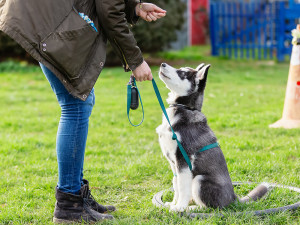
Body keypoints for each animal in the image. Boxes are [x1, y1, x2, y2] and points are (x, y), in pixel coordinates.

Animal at [155, 62, 237, 211]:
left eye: (182, 73)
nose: (163, 64)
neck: (183, 107)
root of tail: (233, 198)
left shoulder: (183, 159)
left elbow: (182, 187)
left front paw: (179, 207)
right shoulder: (174, 163)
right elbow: (176, 183)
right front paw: (173, 203)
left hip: (199, 179)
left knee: (211, 208)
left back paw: (192, 208)